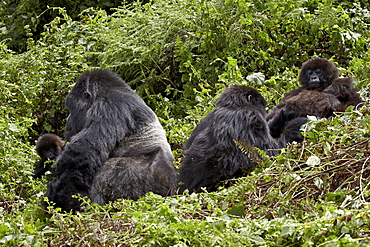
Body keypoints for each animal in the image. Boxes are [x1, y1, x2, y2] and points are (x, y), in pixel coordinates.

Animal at [44, 68, 178, 211]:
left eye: (71, 108)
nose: (67, 121)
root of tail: (170, 186)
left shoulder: (108, 106)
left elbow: (84, 151)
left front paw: (65, 195)